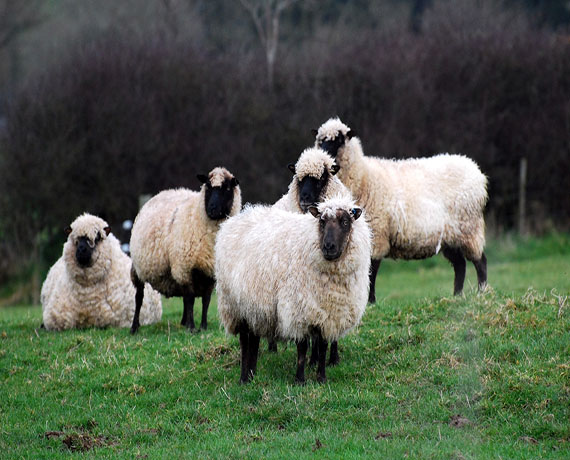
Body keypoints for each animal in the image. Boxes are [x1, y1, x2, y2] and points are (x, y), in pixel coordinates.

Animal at [129, 167, 240, 332]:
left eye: (227, 188)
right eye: (207, 187)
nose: (212, 209)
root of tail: (161, 193)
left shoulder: (210, 272)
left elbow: (206, 300)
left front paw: (203, 326)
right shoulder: (184, 268)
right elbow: (190, 299)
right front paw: (192, 328)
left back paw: (183, 322)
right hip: (138, 268)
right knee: (139, 297)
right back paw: (134, 327)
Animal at [215, 194, 370, 384]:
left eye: (346, 222)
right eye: (322, 221)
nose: (328, 246)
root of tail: (236, 219)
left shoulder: (327, 313)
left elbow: (323, 346)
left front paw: (321, 378)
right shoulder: (298, 309)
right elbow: (302, 348)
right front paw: (300, 380)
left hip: (255, 306)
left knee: (254, 339)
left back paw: (252, 374)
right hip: (235, 306)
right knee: (245, 340)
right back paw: (244, 378)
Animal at [312, 117, 486, 302]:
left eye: (339, 140)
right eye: (320, 141)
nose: (326, 157)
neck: (363, 178)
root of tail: (476, 170)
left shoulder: (376, 233)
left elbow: (372, 270)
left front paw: (371, 302)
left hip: (469, 229)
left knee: (480, 261)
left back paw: (482, 291)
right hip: (451, 236)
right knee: (460, 264)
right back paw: (457, 296)